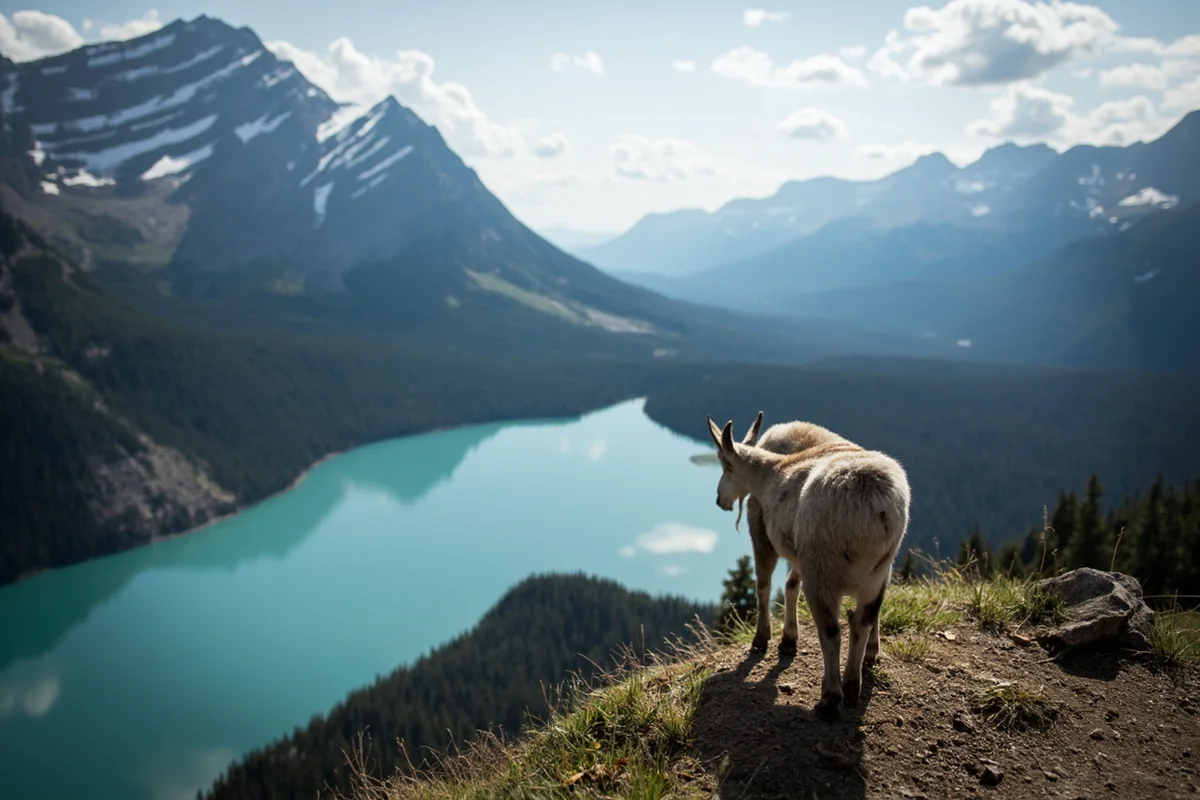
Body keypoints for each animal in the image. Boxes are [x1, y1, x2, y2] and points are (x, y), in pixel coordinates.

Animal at [707, 413, 910, 718]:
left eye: (726, 466)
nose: (720, 500)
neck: (772, 474)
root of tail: (877, 510)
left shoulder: (766, 538)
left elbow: (764, 586)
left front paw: (761, 639)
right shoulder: (798, 551)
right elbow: (790, 585)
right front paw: (788, 639)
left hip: (822, 570)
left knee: (831, 631)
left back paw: (830, 698)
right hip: (878, 571)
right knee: (862, 623)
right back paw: (853, 684)